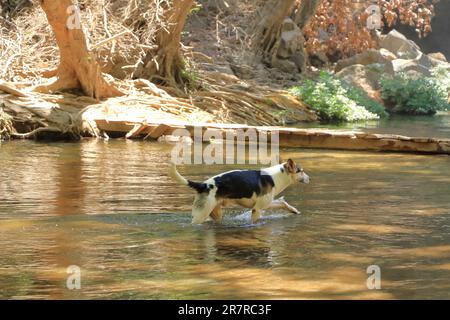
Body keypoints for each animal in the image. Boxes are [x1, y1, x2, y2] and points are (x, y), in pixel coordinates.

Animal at [169, 159, 310, 224]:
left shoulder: (267, 203)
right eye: (301, 171)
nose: (310, 178)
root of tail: (204, 185)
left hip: (215, 213)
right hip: (201, 215)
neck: (276, 176)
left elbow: (283, 203)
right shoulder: (257, 209)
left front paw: (294, 210)